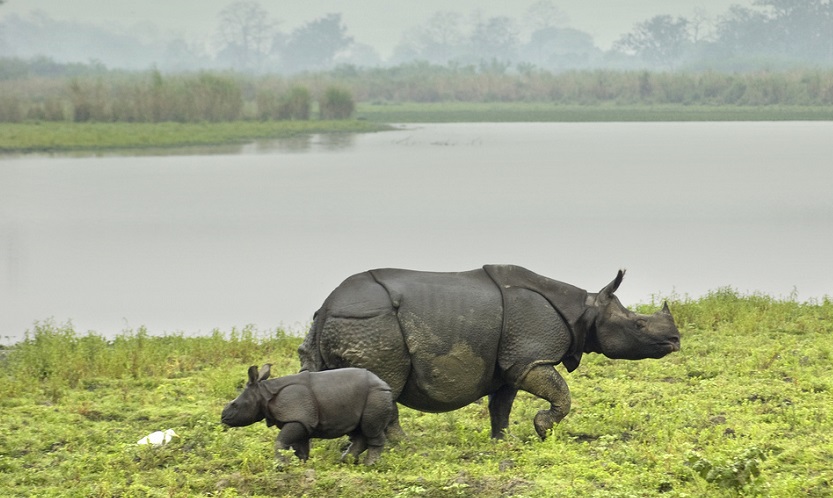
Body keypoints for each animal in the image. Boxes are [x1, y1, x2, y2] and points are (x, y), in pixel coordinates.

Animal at [223, 364, 394, 464]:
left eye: (235, 405)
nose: (223, 417)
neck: (264, 393)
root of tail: (384, 383)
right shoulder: (302, 420)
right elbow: (300, 446)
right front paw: (301, 465)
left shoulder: (297, 418)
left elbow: (280, 441)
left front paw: (280, 466)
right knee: (359, 430)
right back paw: (345, 461)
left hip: (376, 394)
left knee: (371, 429)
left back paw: (370, 465)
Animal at [300, 264, 684, 440]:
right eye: (638, 325)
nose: (676, 340)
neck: (586, 310)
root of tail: (327, 308)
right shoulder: (530, 358)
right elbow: (562, 394)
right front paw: (543, 429)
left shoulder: (511, 364)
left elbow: (501, 405)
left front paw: (504, 441)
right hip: (371, 324)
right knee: (385, 387)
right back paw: (401, 446)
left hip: (343, 324)